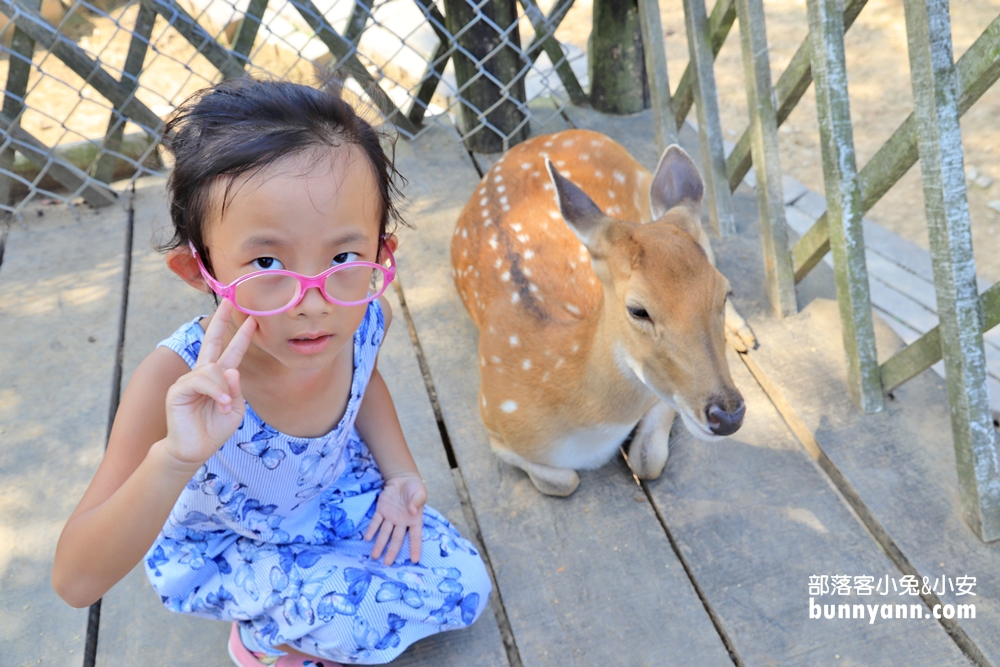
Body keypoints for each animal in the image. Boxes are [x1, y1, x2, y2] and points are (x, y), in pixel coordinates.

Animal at [450, 129, 748, 496]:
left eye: (724, 293)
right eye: (638, 309)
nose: (728, 416)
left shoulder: (660, 394)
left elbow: (647, 461)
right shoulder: (493, 422)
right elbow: (564, 480)